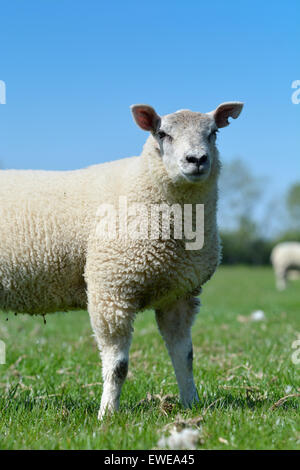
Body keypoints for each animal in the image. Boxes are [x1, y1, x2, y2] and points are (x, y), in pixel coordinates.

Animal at [0, 101, 244, 416]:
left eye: (213, 133)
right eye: (162, 134)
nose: (197, 159)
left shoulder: (180, 294)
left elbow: (185, 356)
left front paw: (192, 403)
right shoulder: (111, 289)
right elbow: (118, 366)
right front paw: (107, 414)